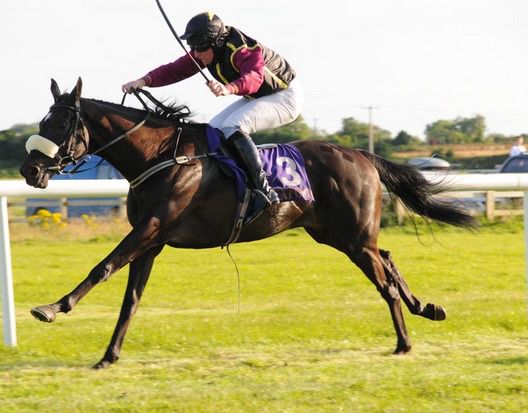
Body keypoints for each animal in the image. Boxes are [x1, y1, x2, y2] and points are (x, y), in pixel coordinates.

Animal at [20, 79, 476, 368]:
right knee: (388, 255)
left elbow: (103, 267)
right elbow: (130, 298)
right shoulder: (152, 241)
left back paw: (404, 342)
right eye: (42, 122)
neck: (161, 156)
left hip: (352, 238)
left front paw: (52, 307)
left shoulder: (150, 228)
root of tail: (361, 154)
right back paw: (426, 308)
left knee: (383, 281)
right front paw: (108, 355)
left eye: (59, 124)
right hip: (336, 234)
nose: (29, 170)